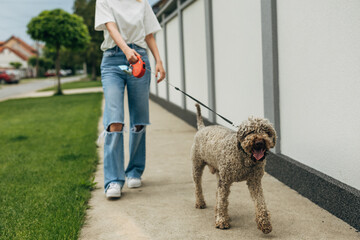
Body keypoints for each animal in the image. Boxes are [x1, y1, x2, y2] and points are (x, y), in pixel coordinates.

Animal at [191, 104, 276, 233]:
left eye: (267, 131)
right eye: (250, 131)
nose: (259, 142)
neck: (244, 158)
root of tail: (202, 128)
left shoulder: (255, 181)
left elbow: (260, 201)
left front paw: (265, 222)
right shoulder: (225, 181)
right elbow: (222, 200)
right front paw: (221, 220)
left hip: (219, 173)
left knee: (217, 192)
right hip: (197, 166)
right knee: (198, 187)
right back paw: (200, 203)